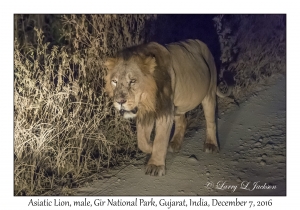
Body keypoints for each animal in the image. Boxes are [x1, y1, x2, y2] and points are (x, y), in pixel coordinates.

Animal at [104, 39, 231, 176]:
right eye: (114, 81)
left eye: (132, 81)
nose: (120, 101)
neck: (147, 98)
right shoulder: (146, 113)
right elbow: (141, 141)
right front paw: (151, 147)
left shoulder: (165, 112)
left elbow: (160, 139)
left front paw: (155, 165)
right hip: (178, 105)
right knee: (182, 121)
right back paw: (174, 144)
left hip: (209, 93)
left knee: (211, 120)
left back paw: (211, 145)